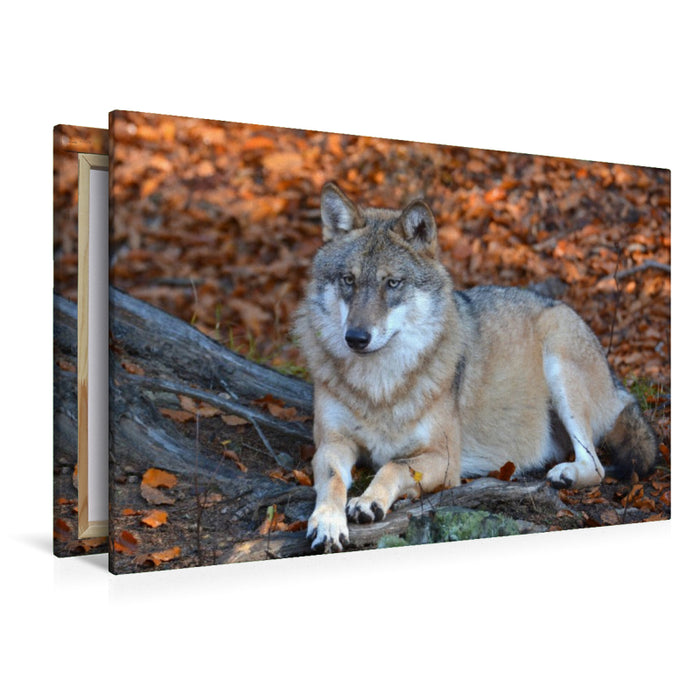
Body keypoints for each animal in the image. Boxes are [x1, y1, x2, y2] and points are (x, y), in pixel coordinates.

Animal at [294, 182, 657, 553]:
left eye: (392, 283)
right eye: (347, 280)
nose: (355, 338)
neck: (380, 386)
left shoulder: (445, 459)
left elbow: (392, 467)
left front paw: (368, 502)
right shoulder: (331, 444)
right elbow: (333, 481)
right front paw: (327, 521)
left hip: (558, 358)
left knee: (597, 467)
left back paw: (565, 474)